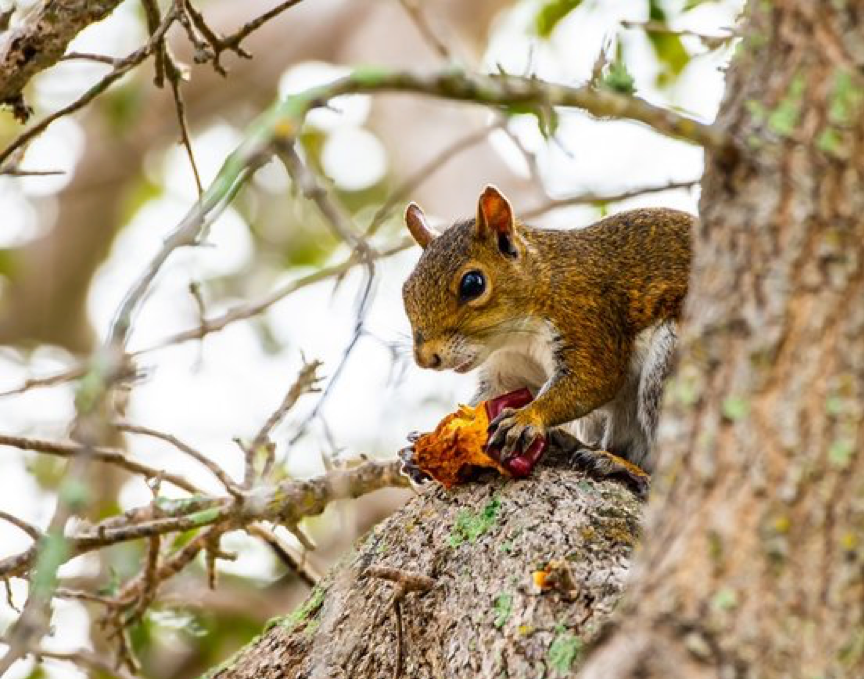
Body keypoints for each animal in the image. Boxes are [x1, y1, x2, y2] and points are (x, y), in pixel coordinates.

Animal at [400, 186, 696, 494]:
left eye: (473, 284)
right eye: (405, 290)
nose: (426, 359)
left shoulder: (585, 318)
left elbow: (594, 379)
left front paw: (527, 417)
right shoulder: (507, 372)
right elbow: (490, 398)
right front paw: (421, 447)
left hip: (671, 361)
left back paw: (628, 469)